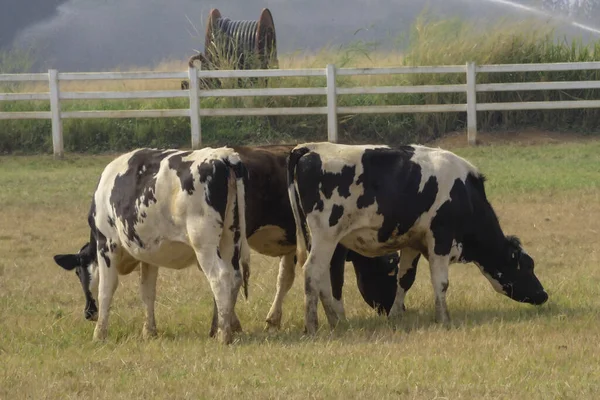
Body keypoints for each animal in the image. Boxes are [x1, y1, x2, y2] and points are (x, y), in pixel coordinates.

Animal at [52, 147, 248, 344]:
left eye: (78, 272)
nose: (88, 313)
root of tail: (223, 155)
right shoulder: (148, 254)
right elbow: (147, 291)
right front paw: (149, 331)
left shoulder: (106, 243)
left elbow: (106, 290)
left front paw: (99, 334)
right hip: (231, 238)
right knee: (235, 277)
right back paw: (225, 327)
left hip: (204, 243)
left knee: (220, 277)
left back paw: (223, 334)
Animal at [232, 145, 400, 326]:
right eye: (390, 273)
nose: (397, 309)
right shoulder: (335, 247)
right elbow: (334, 281)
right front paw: (339, 317)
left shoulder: (293, 247)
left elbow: (285, 279)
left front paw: (273, 319)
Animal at [288, 142, 548, 332]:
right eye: (528, 266)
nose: (543, 294)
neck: (464, 193)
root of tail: (310, 148)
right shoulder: (440, 240)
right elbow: (441, 282)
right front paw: (443, 318)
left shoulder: (412, 242)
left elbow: (405, 279)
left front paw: (395, 315)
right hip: (326, 237)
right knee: (312, 273)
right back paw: (312, 325)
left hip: (324, 241)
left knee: (322, 278)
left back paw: (334, 320)